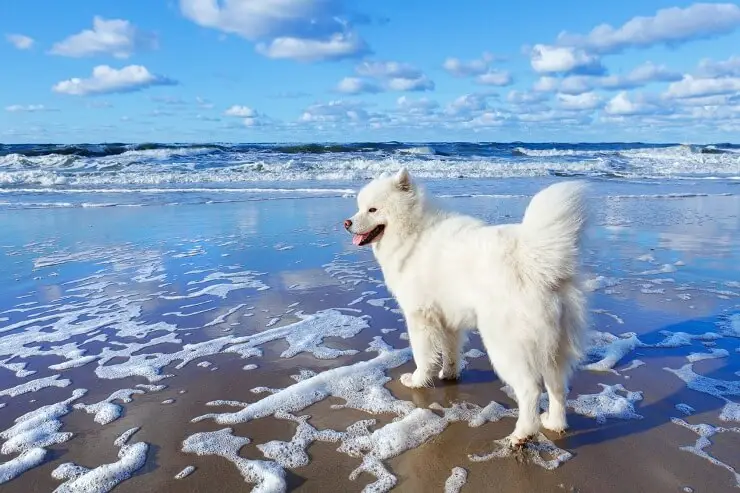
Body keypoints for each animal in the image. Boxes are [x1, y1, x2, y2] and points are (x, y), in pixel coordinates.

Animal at [346, 167, 588, 444]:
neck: (415, 233)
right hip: (554, 348)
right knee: (558, 386)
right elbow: (450, 351)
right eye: (359, 208)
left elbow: (423, 355)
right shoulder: (448, 319)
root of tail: (535, 261)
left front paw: (417, 380)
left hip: (506, 346)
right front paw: (449, 374)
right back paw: (554, 423)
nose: (346, 223)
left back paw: (522, 434)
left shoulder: (420, 317)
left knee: (530, 390)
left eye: (372, 210)